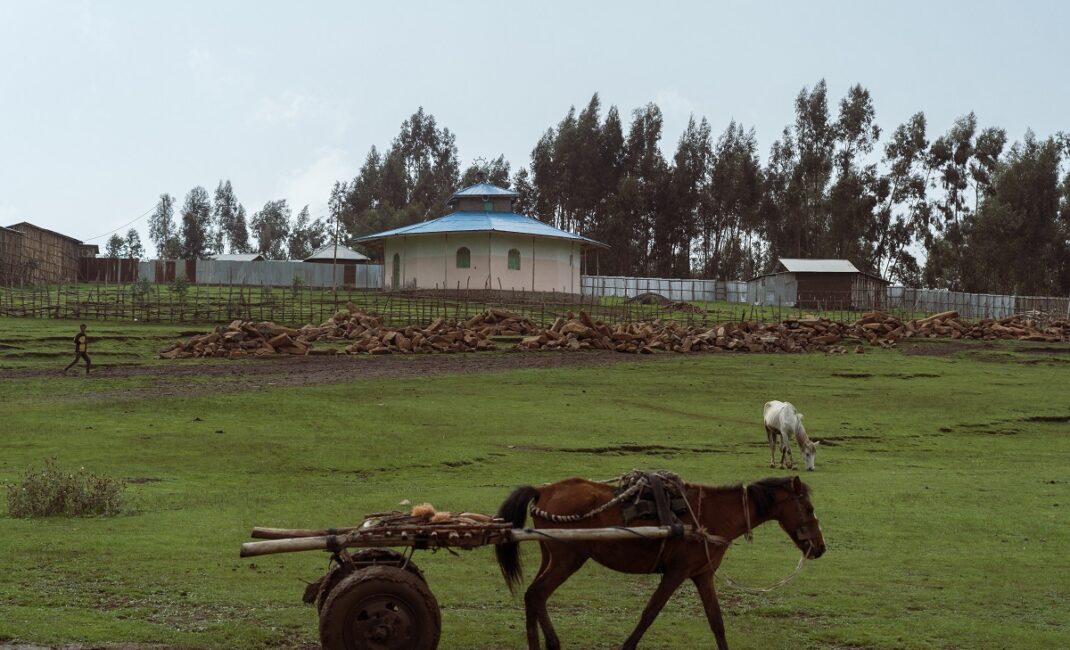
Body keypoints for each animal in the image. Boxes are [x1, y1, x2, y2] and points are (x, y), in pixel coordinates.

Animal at [494, 473, 826, 650]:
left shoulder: (702, 575)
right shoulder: (676, 573)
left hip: (551, 557)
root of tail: (544, 489)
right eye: (809, 509)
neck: (713, 515)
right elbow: (649, 613)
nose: (820, 548)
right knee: (537, 594)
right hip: (568, 559)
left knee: (534, 596)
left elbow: (717, 622)